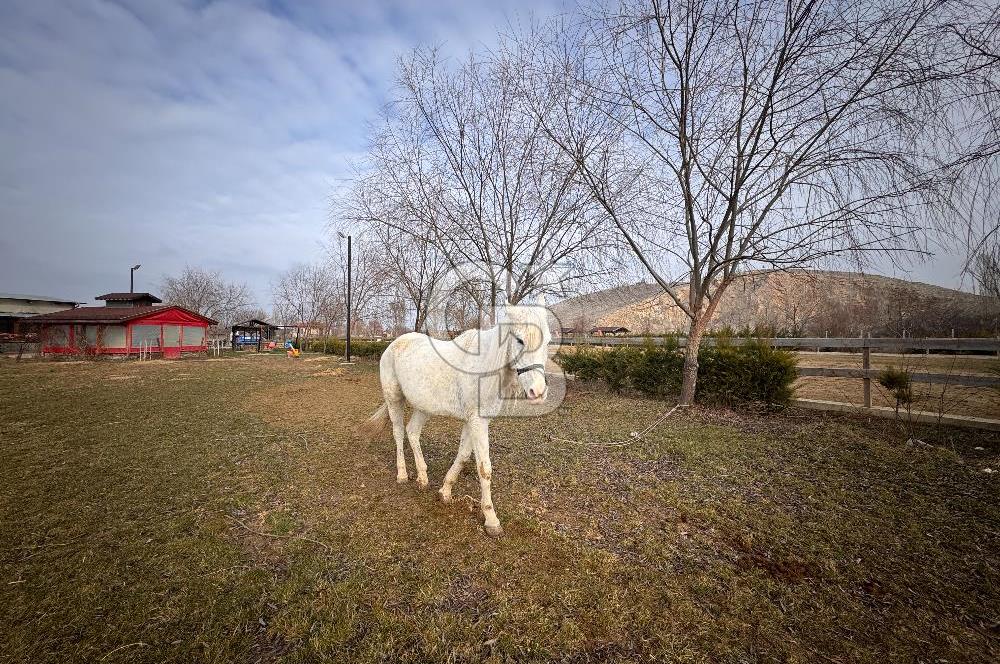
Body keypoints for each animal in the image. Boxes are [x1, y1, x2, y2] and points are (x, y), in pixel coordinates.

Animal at [360, 298, 552, 536]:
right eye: (519, 340)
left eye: (548, 341)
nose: (538, 392)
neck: (484, 369)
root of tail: (394, 344)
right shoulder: (477, 422)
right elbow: (484, 468)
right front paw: (491, 519)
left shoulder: (474, 421)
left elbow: (463, 456)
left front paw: (445, 491)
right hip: (394, 399)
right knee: (398, 433)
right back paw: (402, 475)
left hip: (423, 407)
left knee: (412, 433)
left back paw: (422, 478)